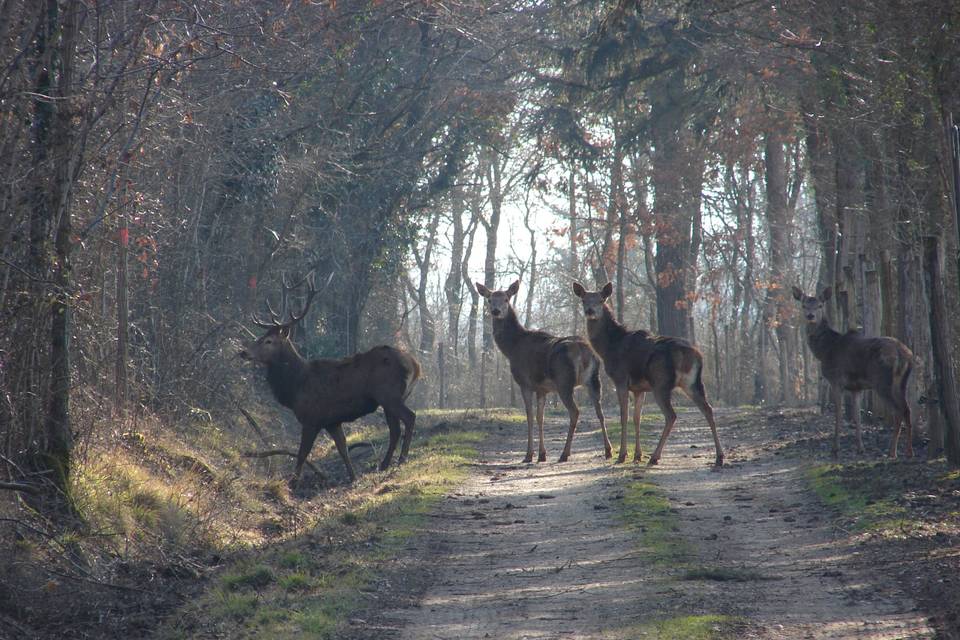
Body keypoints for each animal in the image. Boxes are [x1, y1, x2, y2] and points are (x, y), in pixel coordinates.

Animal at [238, 272, 418, 488]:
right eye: (261, 337)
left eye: (268, 341)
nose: (243, 352)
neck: (295, 386)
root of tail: (416, 365)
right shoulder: (332, 421)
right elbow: (343, 448)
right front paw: (353, 477)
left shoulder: (312, 418)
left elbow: (302, 453)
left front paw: (292, 483)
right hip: (390, 399)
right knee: (395, 430)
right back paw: (384, 464)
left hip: (390, 395)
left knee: (410, 417)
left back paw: (401, 459)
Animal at [476, 282, 612, 462]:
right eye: (490, 299)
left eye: (506, 299)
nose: (496, 311)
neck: (512, 348)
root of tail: (584, 351)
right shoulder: (542, 389)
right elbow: (540, 417)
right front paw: (542, 454)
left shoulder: (525, 383)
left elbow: (530, 416)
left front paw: (529, 455)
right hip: (593, 380)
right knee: (600, 411)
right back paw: (608, 450)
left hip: (564, 381)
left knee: (575, 411)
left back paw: (564, 453)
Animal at [568, 282, 720, 468]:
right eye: (583, 299)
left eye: (601, 299)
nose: (590, 310)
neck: (609, 348)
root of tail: (695, 356)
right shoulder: (639, 389)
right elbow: (637, 418)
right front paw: (637, 455)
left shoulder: (620, 379)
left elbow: (624, 416)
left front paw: (623, 455)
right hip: (692, 383)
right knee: (708, 409)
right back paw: (719, 457)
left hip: (661, 383)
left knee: (671, 415)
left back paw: (655, 456)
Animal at [792, 286, 920, 460]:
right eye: (804, 305)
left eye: (819, 305)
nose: (810, 316)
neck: (825, 350)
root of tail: (904, 354)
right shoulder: (856, 388)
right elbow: (857, 416)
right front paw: (860, 448)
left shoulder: (836, 380)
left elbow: (839, 413)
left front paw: (835, 449)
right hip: (902, 383)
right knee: (907, 409)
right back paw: (909, 451)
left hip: (882, 381)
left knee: (898, 411)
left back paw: (892, 452)